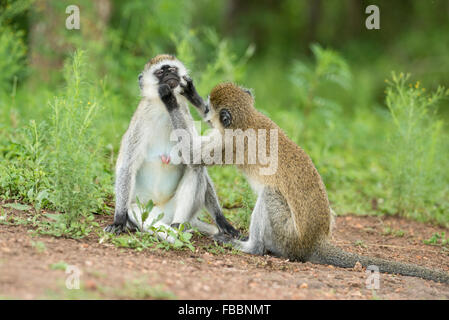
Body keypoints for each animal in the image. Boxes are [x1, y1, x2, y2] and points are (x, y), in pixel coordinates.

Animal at [104, 53, 240, 241]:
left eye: (173, 69)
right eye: (160, 72)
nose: (170, 75)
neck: (163, 110)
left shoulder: (185, 115)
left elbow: (195, 157)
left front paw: (222, 220)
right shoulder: (140, 121)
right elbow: (127, 166)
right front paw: (118, 221)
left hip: (170, 211)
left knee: (196, 169)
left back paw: (179, 226)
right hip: (142, 210)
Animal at [158, 79, 448, 282]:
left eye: (210, 108)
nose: (206, 111)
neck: (248, 118)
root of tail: (315, 241)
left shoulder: (230, 144)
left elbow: (191, 154)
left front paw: (168, 97)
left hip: (287, 236)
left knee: (269, 196)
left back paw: (250, 247)